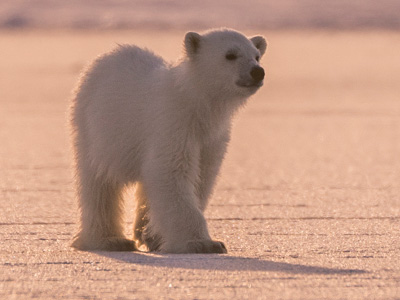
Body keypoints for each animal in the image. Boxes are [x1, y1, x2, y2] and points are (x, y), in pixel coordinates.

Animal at [70, 28, 268, 253]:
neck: (194, 101)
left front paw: (156, 236)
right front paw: (203, 243)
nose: (257, 72)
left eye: (256, 55)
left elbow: (202, 176)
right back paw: (109, 240)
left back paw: (144, 234)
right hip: (95, 128)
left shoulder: (212, 138)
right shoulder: (173, 123)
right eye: (230, 55)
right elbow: (171, 173)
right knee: (98, 183)